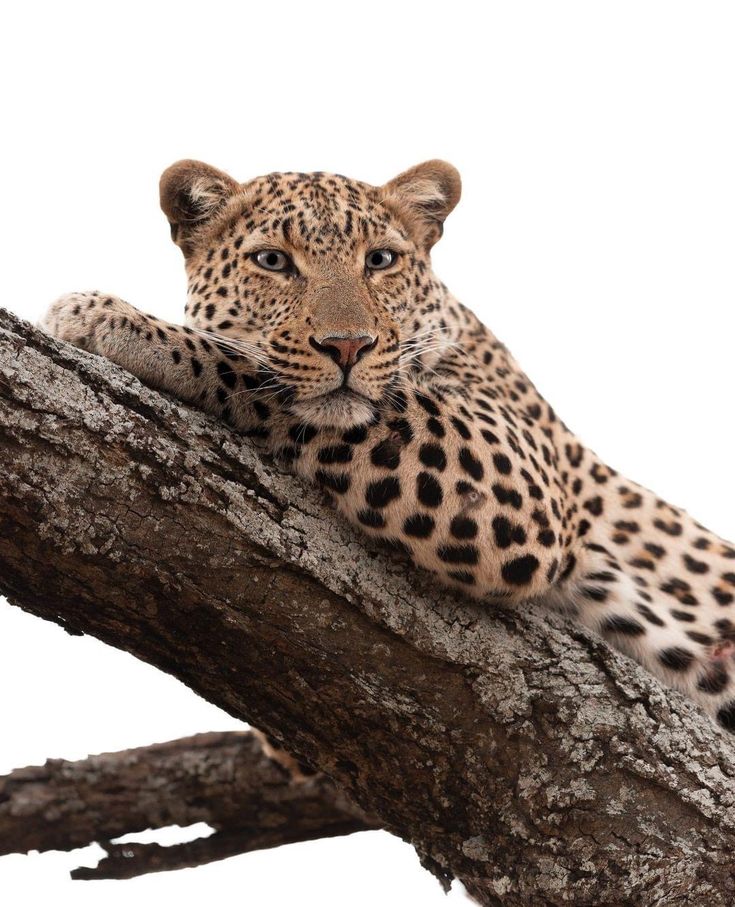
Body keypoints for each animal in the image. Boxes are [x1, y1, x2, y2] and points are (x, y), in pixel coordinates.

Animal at [40, 156, 735, 740]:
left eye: (379, 260)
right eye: (272, 261)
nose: (348, 346)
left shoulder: (516, 471)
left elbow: (256, 372)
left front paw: (112, 320)